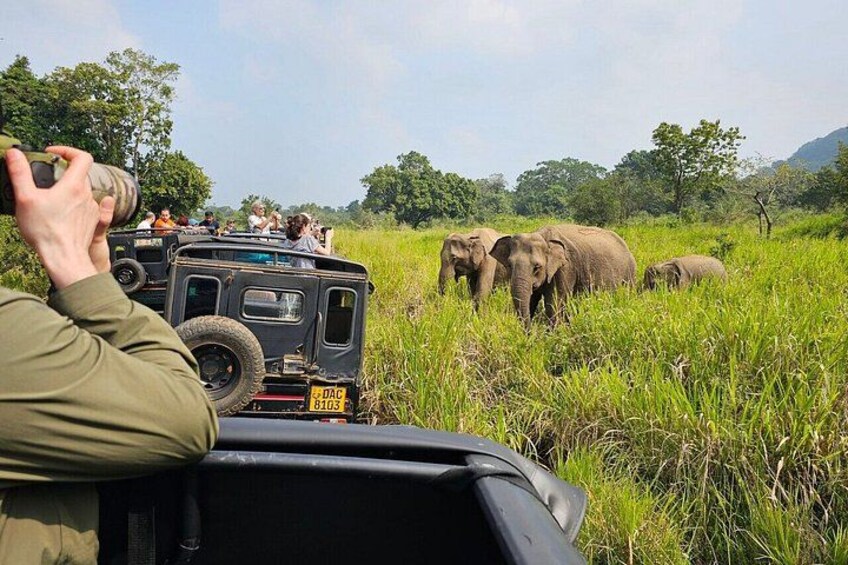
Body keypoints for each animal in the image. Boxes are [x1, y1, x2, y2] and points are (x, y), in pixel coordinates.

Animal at [490, 224, 636, 329]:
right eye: (510, 265)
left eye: (537, 267)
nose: (530, 333)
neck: (543, 235)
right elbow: (532, 299)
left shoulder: (566, 268)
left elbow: (553, 303)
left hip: (630, 274)